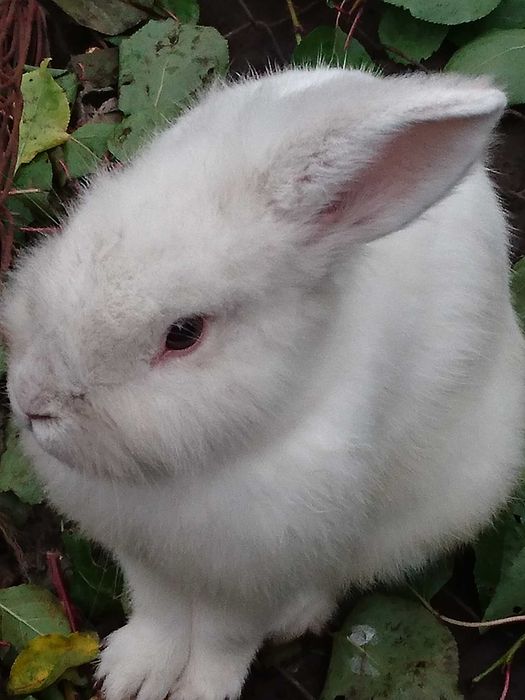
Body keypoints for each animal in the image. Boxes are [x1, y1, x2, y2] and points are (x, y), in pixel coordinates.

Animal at [4, 66, 525, 700]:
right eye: (74, 230)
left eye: (184, 333)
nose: (33, 403)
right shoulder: (142, 556)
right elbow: (158, 612)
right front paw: (131, 675)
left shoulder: (257, 571)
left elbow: (226, 640)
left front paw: (199, 690)